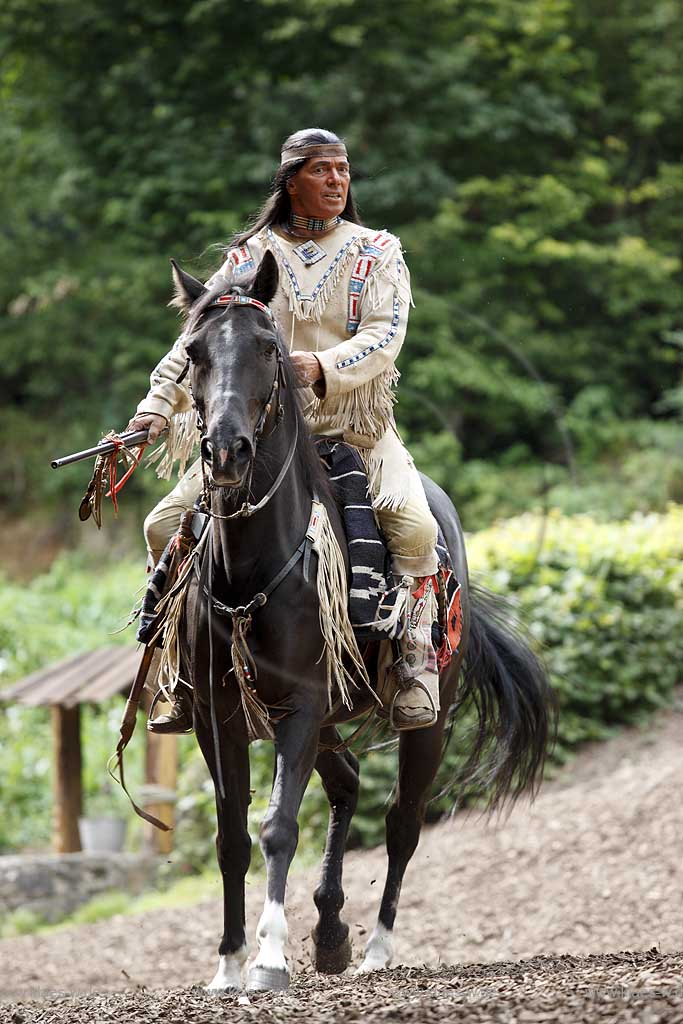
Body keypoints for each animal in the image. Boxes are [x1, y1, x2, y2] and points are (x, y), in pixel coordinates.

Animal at [169, 253, 557, 991]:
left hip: (423, 720)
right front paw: (229, 961)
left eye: (267, 348)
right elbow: (231, 835)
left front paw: (268, 957)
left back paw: (376, 948)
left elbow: (278, 826)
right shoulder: (216, 713)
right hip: (323, 720)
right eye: (195, 352)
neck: (255, 564)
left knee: (403, 820)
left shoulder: (300, 703)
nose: (227, 451)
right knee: (347, 782)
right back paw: (329, 930)